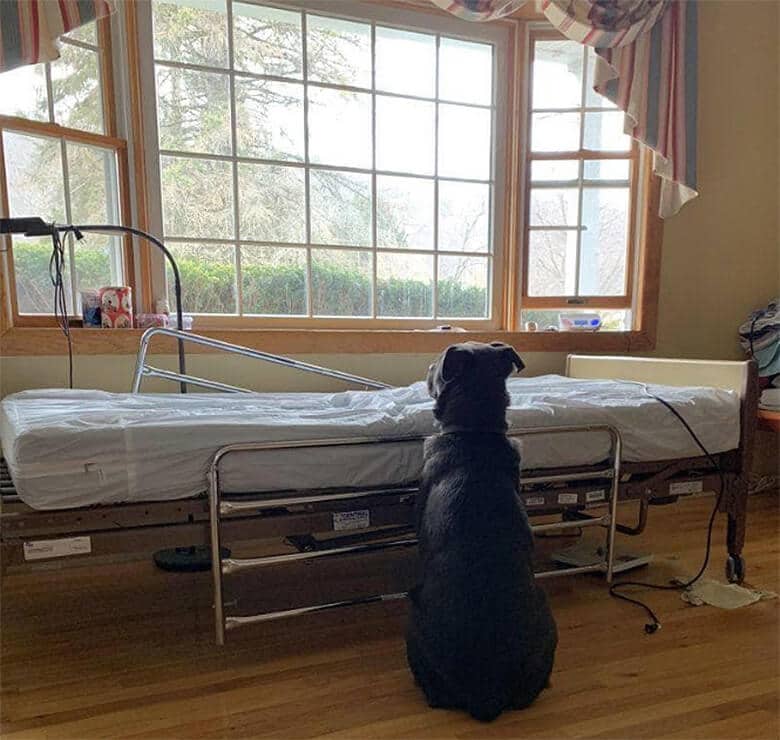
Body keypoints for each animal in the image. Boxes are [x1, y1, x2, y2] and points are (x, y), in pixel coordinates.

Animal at [408, 342, 556, 724]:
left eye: (435, 368)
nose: (425, 369)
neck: (473, 430)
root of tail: (486, 694)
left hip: (413, 619)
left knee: (432, 695)